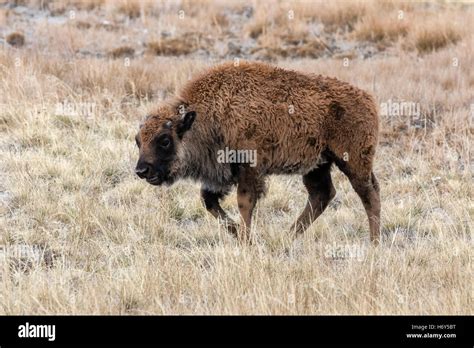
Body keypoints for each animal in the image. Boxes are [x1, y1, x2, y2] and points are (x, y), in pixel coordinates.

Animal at [134, 61, 382, 243]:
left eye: (165, 140)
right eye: (138, 141)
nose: (141, 170)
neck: (208, 116)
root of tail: (368, 99)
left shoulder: (249, 169)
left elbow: (244, 202)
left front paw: (247, 239)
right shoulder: (222, 175)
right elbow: (209, 202)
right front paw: (244, 236)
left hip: (352, 161)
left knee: (368, 194)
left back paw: (374, 242)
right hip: (317, 165)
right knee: (322, 194)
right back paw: (287, 237)